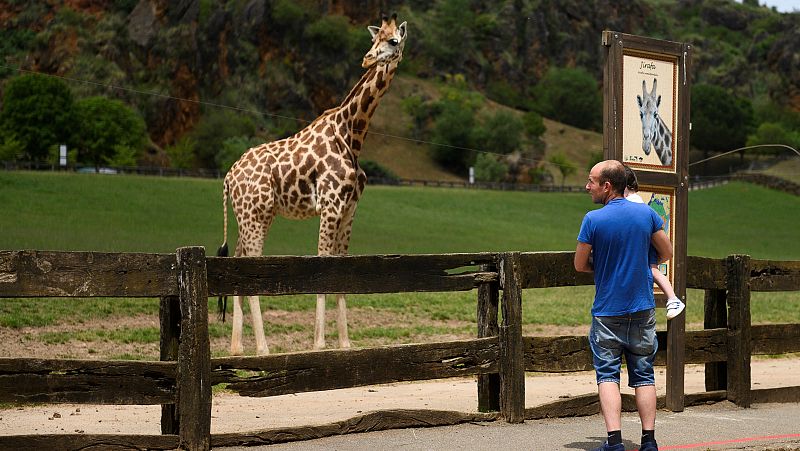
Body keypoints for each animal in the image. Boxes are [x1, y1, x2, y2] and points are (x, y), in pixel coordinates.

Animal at [217, 15, 410, 356]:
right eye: (375, 40)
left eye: (393, 41)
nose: (367, 59)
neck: (352, 134)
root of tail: (229, 177)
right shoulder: (331, 206)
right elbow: (323, 269)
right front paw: (319, 343)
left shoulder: (350, 209)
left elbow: (342, 273)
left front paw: (345, 343)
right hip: (254, 216)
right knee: (250, 266)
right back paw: (263, 349)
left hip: (252, 216)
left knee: (239, 262)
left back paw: (237, 348)